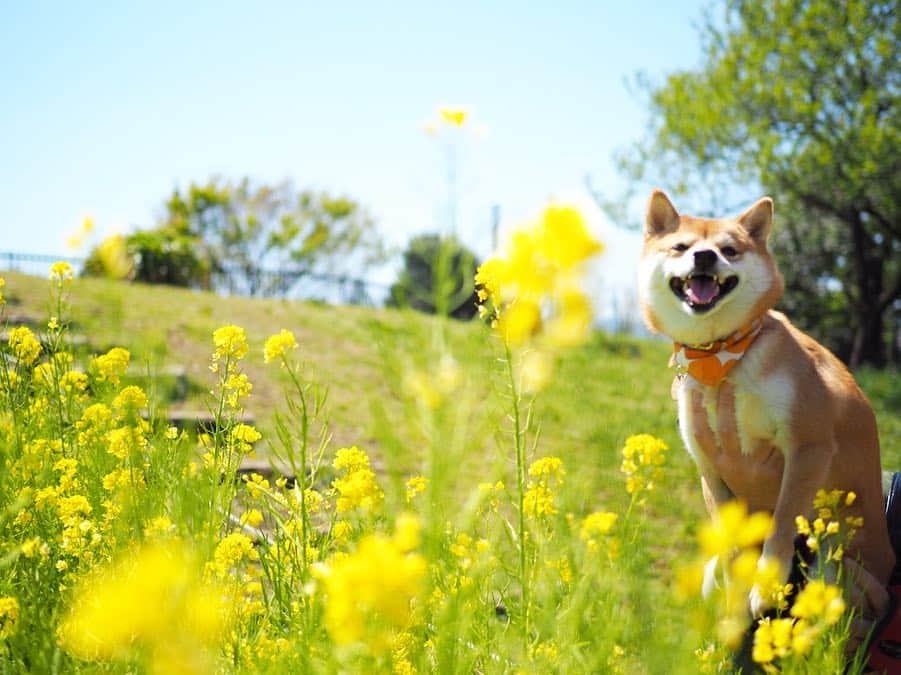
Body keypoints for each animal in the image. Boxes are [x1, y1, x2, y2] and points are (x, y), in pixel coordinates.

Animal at [640, 189, 892, 612]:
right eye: (681, 247)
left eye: (729, 249)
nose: (705, 257)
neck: (719, 355)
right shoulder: (709, 466)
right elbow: (731, 547)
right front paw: (735, 601)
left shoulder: (809, 446)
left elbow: (783, 520)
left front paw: (767, 583)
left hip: (833, 564)